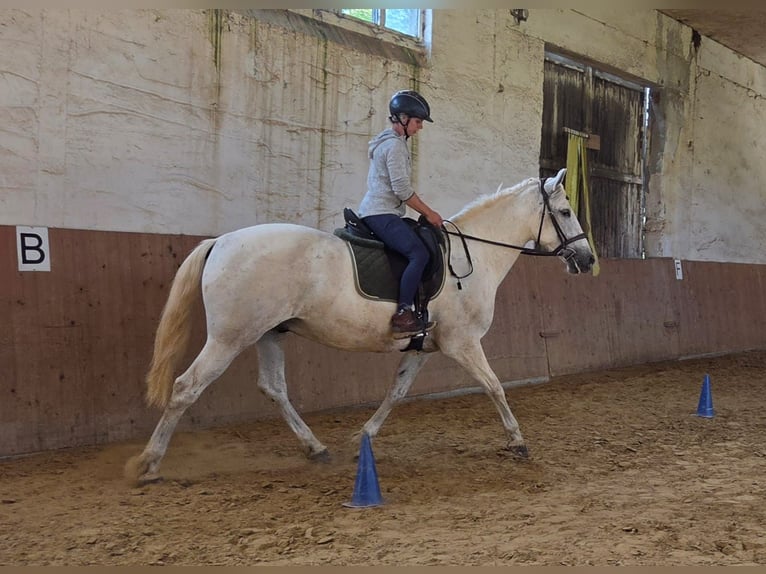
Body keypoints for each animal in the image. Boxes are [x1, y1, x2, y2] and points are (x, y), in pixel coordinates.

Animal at [125, 167, 594, 485]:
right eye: (566, 211)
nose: (587, 260)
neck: (474, 257)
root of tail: (221, 240)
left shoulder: (424, 349)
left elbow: (396, 393)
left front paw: (363, 438)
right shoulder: (463, 344)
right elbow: (495, 386)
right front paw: (518, 441)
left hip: (268, 334)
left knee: (274, 388)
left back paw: (316, 448)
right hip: (229, 338)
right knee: (186, 387)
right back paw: (148, 464)